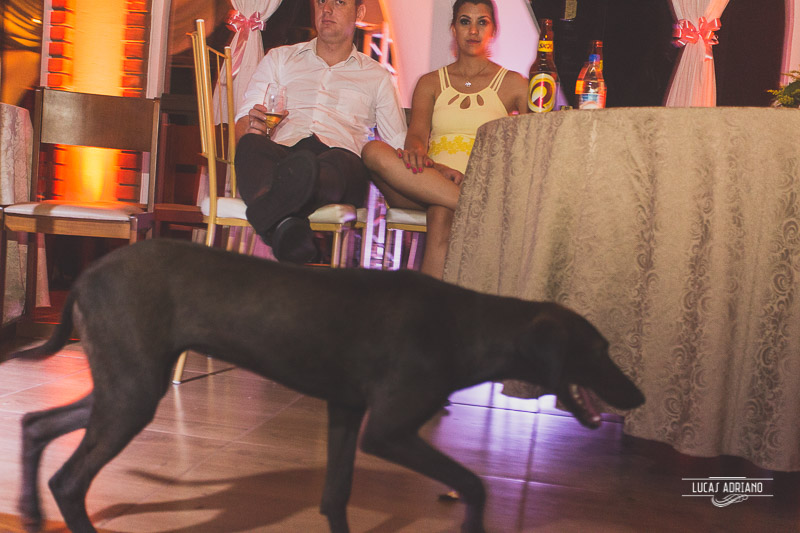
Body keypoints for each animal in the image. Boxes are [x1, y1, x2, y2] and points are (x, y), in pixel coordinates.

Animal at [6, 239, 644, 533]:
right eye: (599, 350)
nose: (637, 397)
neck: (470, 324)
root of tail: (87, 273)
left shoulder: (344, 411)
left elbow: (335, 497)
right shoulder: (387, 432)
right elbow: (474, 483)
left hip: (123, 387)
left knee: (35, 423)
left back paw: (29, 511)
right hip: (132, 395)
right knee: (70, 480)